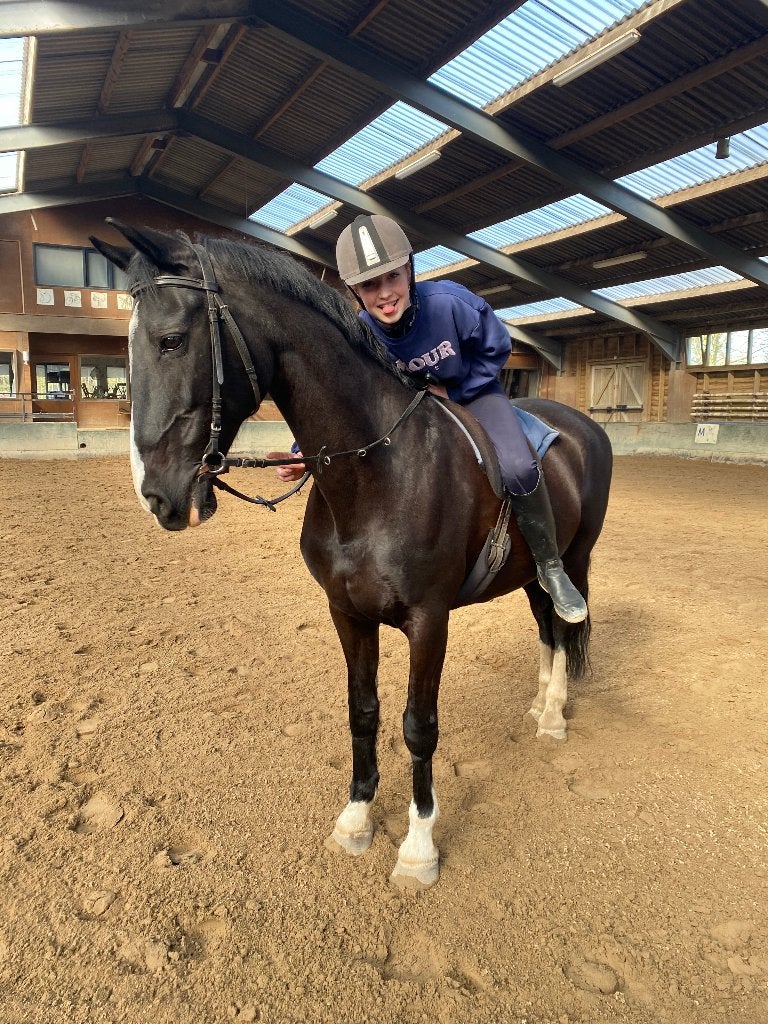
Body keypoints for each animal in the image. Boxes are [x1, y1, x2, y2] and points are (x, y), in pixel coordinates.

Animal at [91, 221, 612, 888]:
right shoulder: (348, 614)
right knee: (546, 626)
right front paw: (358, 816)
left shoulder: (428, 621)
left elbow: (419, 726)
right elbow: (363, 712)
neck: (377, 473)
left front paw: (418, 847)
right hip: (525, 575)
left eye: (172, 341)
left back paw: (554, 714)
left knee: (565, 622)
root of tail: (580, 425)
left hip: (572, 561)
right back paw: (541, 703)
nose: (156, 496)